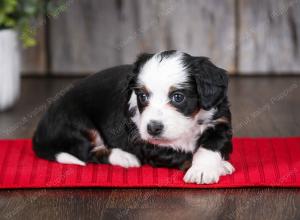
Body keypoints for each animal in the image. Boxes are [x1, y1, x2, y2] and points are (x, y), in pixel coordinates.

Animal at [32, 50, 234, 184]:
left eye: (178, 97)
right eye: (142, 96)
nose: (153, 128)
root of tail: (40, 132)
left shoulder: (220, 122)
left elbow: (210, 146)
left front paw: (206, 168)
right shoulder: (146, 142)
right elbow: (182, 155)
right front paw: (210, 168)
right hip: (79, 125)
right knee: (87, 153)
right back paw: (124, 157)